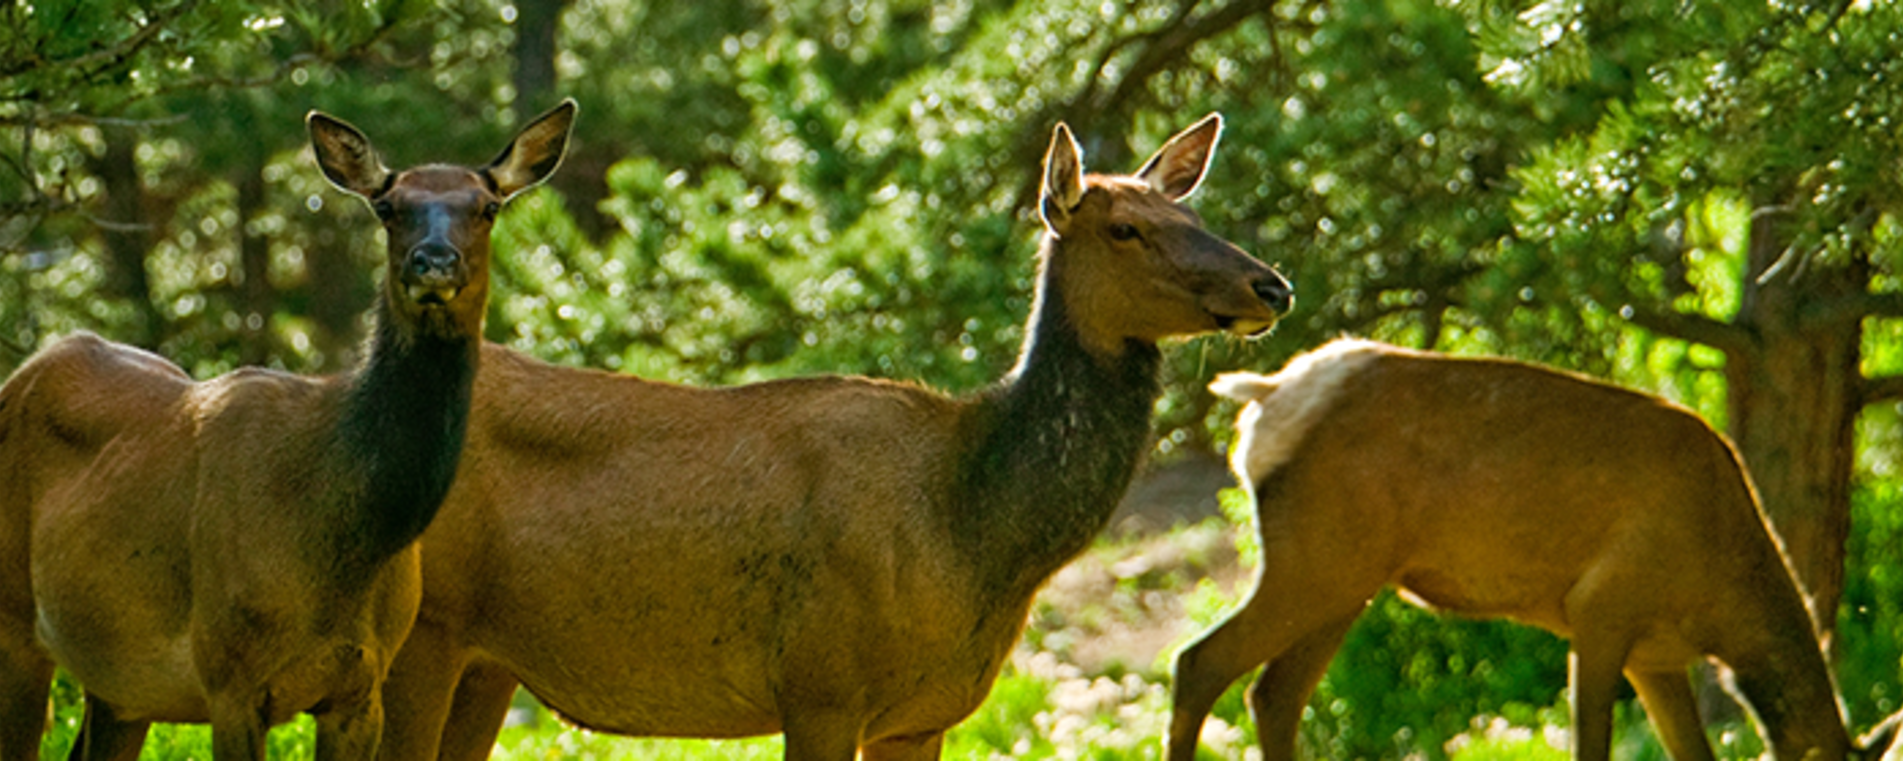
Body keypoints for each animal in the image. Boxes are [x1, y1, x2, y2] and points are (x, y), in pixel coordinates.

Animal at [0, 100, 570, 761]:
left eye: (488, 206)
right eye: (387, 206)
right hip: (14, 623)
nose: (433, 262)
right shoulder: (229, 675)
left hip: (120, 685)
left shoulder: (363, 687)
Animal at [371, 114, 1294, 761]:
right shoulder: (819, 683)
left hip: (489, 659)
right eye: (1124, 228)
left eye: (1190, 210)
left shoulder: (922, 713)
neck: (974, 531)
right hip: (420, 627)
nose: (1270, 285)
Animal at [1164, 338, 1880, 761]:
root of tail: (1263, 398)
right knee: (1200, 662)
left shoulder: (1657, 655)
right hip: (1316, 561)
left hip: (1343, 578)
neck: (1721, 599)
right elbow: (1592, 744)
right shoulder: (1602, 607)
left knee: (1273, 694)